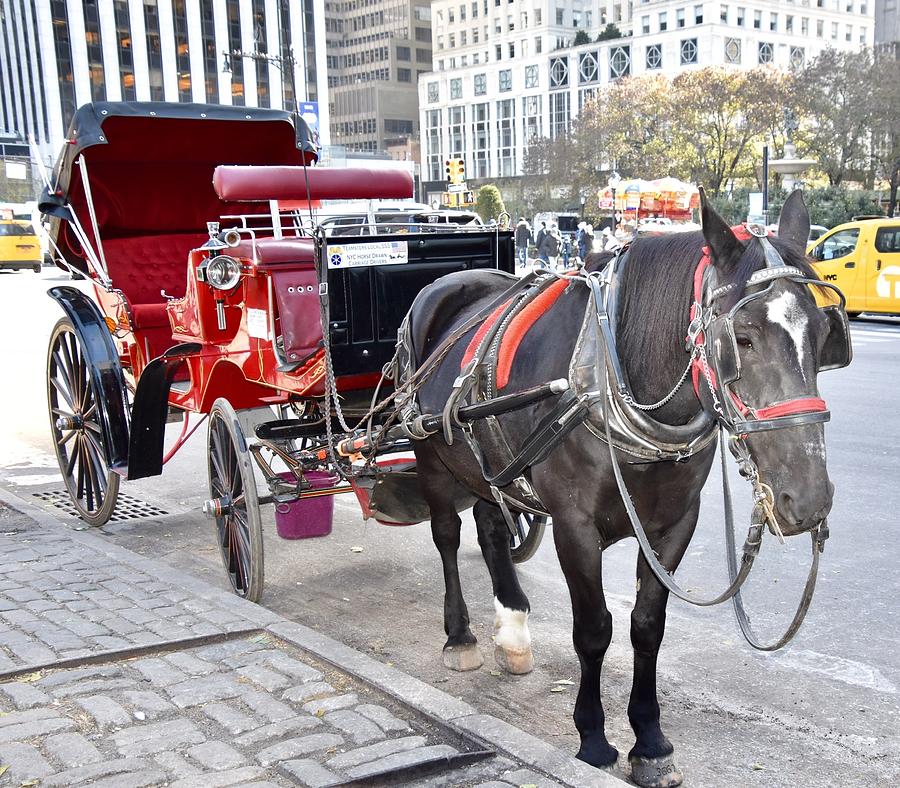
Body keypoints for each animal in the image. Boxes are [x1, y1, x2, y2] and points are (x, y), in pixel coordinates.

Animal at [404, 192, 840, 788]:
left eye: (823, 335)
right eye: (743, 339)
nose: (810, 499)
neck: (612, 371)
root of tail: (447, 284)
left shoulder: (674, 524)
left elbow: (646, 627)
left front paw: (650, 740)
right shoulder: (573, 527)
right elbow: (594, 630)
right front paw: (592, 738)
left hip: (490, 465)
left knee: (492, 527)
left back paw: (512, 629)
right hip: (430, 454)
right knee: (447, 534)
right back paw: (461, 636)